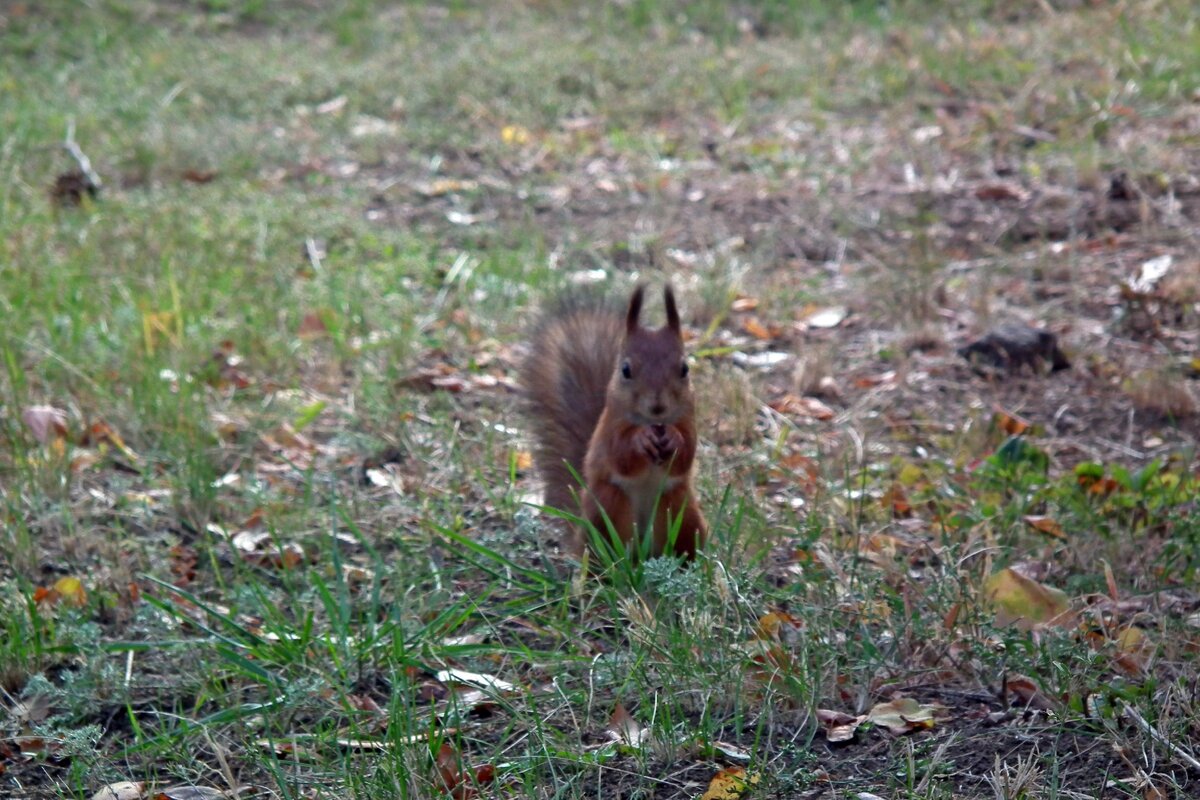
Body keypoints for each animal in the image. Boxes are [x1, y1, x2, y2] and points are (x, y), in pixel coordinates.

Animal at [523, 284, 700, 561]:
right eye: (626, 370)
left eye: (685, 369)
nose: (657, 406)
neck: (654, 423)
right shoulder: (609, 428)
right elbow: (620, 456)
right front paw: (641, 439)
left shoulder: (689, 419)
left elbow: (686, 454)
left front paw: (673, 437)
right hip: (608, 507)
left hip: (681, 509)